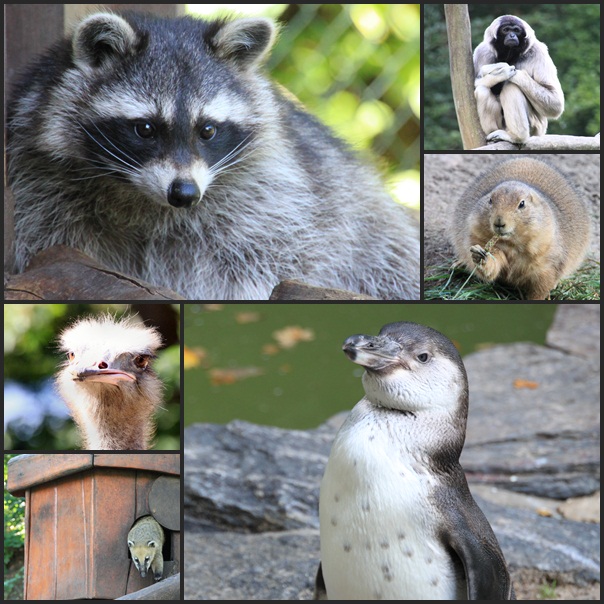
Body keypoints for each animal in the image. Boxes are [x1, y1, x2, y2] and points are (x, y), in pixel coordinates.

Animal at [5, 11, 420, 300]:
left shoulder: (269, 199)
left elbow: (266, 261)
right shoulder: (38, 182)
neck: (141, 198)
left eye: (207, 130)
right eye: (145, 129)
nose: (184, 193)